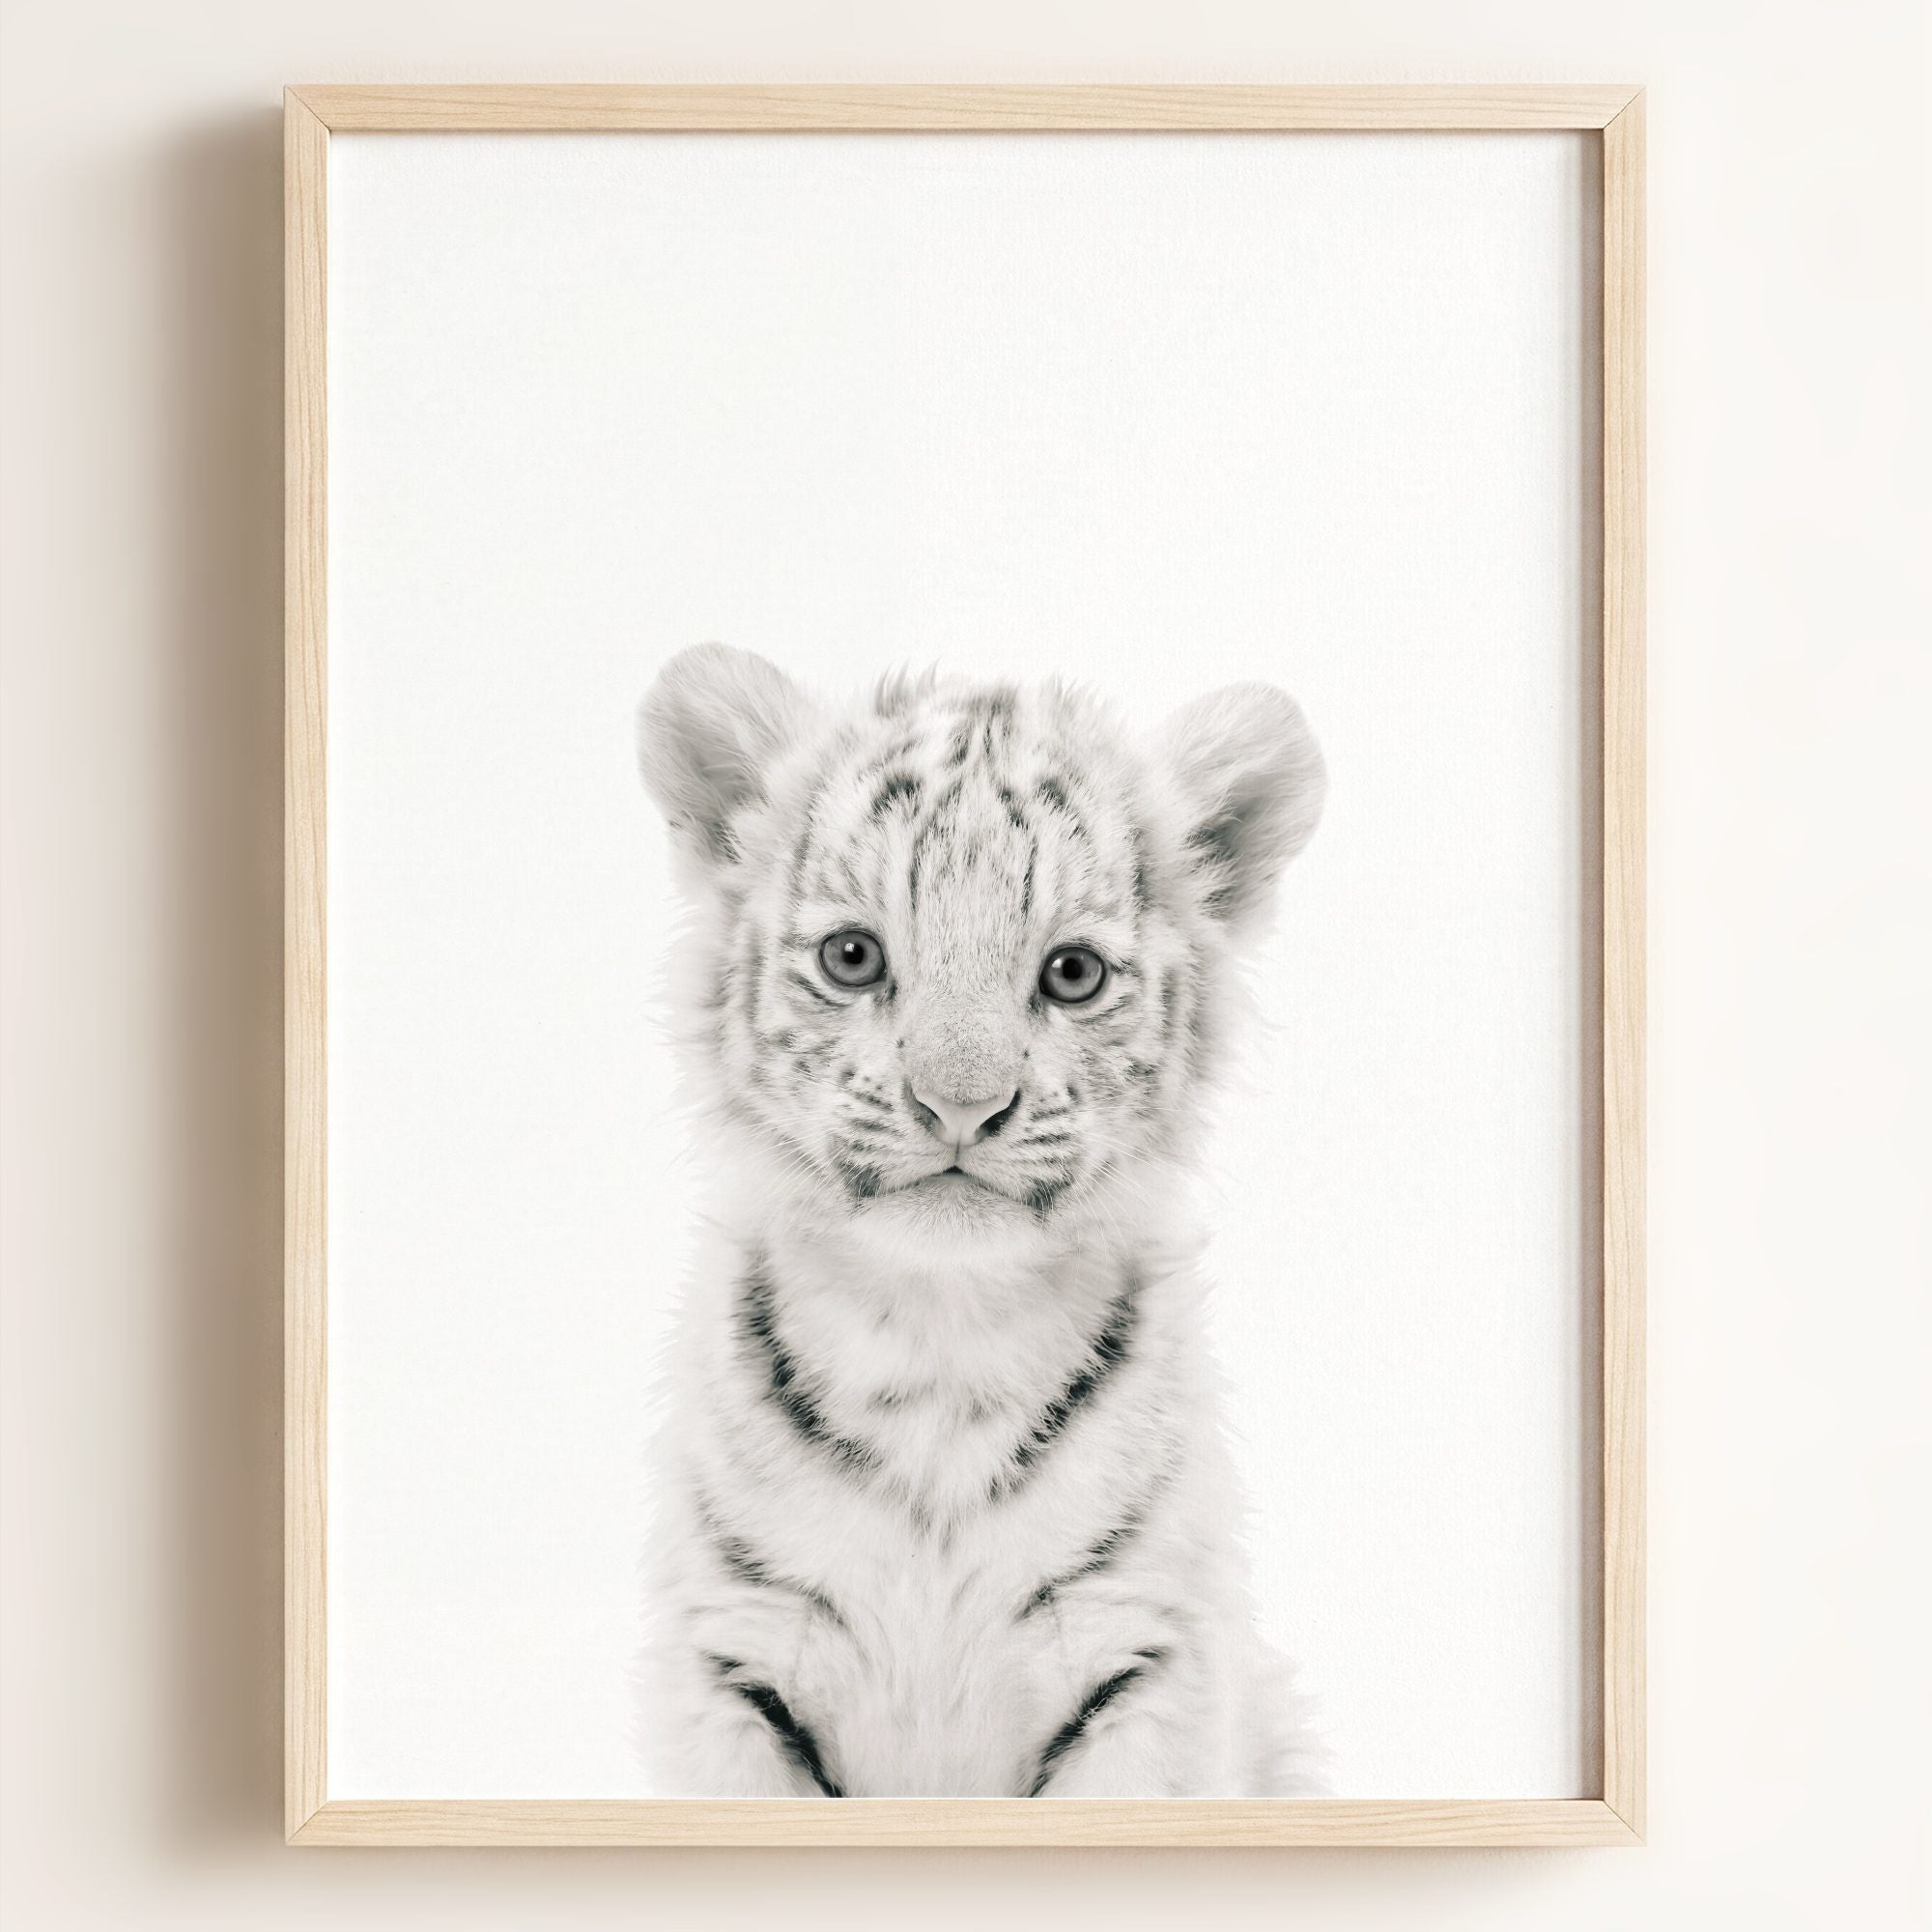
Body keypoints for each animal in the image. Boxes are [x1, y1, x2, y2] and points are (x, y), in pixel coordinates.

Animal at [633, 642, 1328, 1798]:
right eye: (853, 957)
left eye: (1072, 972)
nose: (960, 1104)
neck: (938, 1341)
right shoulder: (732, 1656)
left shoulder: (1143, 1656)